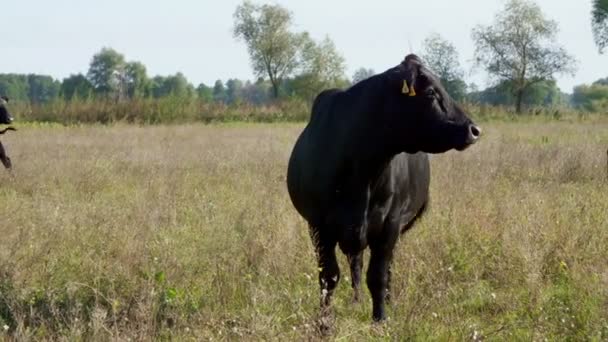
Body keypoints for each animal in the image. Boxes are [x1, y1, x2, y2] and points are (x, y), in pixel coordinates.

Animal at [284, 54, 480, 324]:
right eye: (431, 92)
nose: (473, 130)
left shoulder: (390, 224)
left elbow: (378, 276)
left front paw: (380, 319)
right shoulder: (318, 226)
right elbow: (328, 277)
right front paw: (324, 322)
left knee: (383, 268)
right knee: (355, 263)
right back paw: (356, 299)